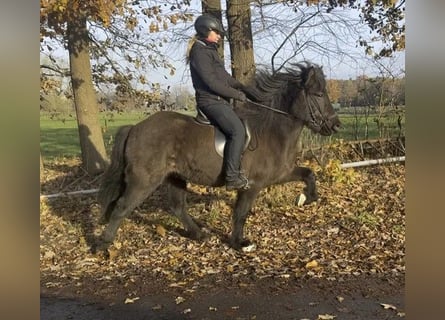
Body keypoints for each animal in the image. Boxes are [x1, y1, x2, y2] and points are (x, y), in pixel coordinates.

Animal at [96, 62, 340, 252]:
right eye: (319, 95)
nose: (336, 125)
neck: (271, 130)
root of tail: (135, 128)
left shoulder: (281, 174)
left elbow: (309, 173)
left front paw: (308, 198)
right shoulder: (252, 185)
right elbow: (240, 213)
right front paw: (239, 243)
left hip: (175, 177)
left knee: (177, 207)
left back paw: (200, 235)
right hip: (144, 181)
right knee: (122, 207)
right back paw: (103, 246)